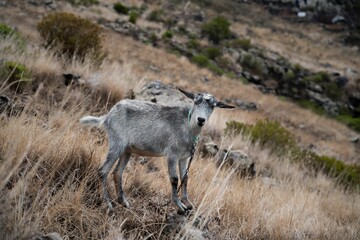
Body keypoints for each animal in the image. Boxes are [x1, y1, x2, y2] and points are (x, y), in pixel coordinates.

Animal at [80, 88, 235, 214]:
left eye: (212, 106)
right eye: (196, 102)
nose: (201, 119)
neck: (187, 127)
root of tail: (108, 116)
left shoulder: (184, 157)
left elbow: (185, 178)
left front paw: (188, 203)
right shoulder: (172, 154)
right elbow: (174, 179)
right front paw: (179, 206)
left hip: (127, 150)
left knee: (117, 172)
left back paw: (123, 202)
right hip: (116, 143)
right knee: (103, 170)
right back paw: (107, 203)